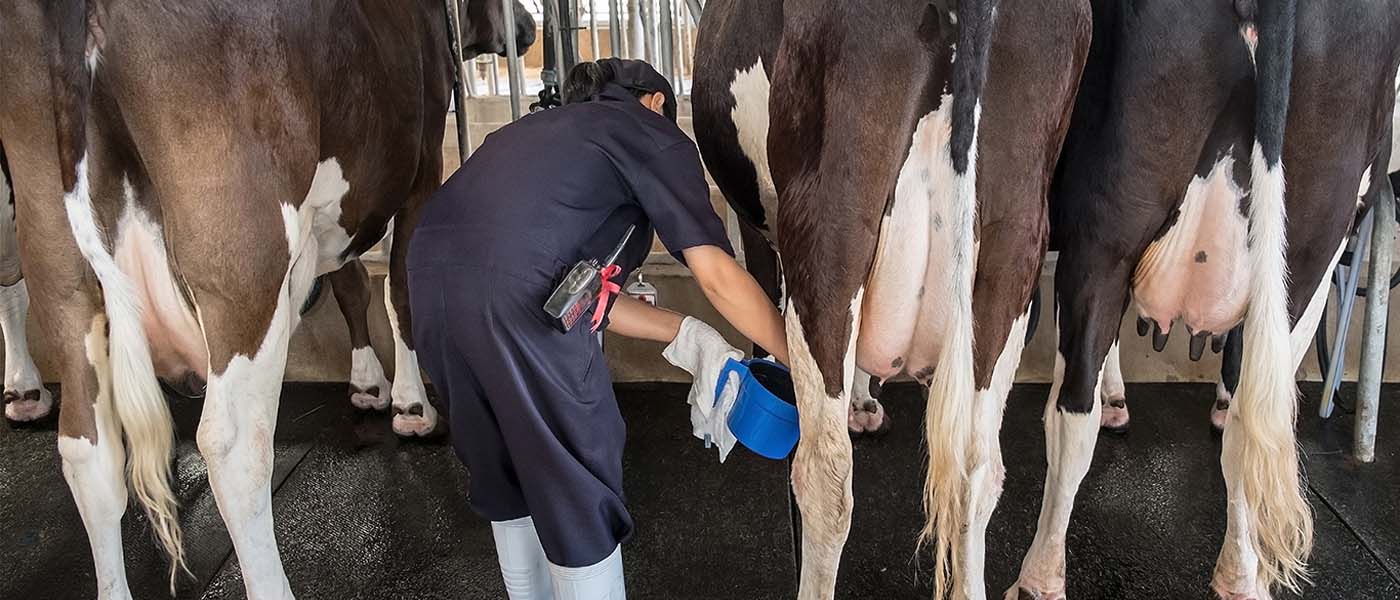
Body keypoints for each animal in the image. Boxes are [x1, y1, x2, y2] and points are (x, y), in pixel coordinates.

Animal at [0, 0, 529, 593]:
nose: (527, 28)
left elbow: (350, 283)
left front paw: (367, 383)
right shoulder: (422, 168)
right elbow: (399, 292)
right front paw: (412, 406)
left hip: (57, 259)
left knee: (86, 449)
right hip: (244, 265)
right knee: (232, 450)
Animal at [694, 1, 1086, 598]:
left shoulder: (757, 224)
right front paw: (864, 401)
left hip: (828, 220)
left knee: (827, 476)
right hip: (1015, 241)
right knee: (976, 474)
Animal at [1019, 2, 1400, 595]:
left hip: (1104, 230)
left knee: (1073, 407)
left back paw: (1039, 576)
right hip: (1312, 249)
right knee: (1253, 422)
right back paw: (1241, 575)